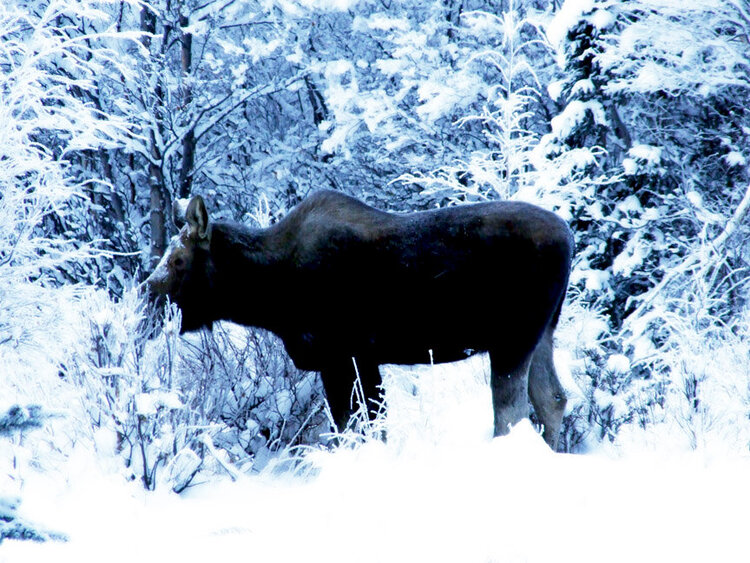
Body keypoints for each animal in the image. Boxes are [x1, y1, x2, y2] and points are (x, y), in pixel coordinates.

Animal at [147, 192, 576, 452]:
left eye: (178, 260)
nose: (149, 290)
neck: (271, 296)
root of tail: (570, 238)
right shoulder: (364, 361)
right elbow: (371, 427)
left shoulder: (339, 358)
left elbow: (350, 430)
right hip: (541, 333)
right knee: (553, 399)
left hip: (511, 339)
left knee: (511, 415)